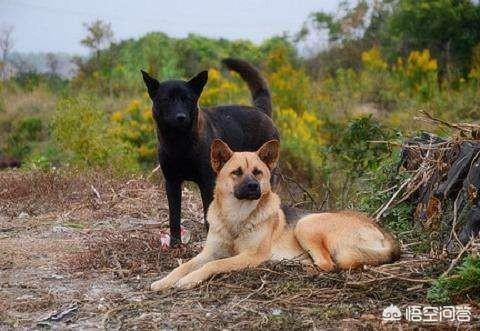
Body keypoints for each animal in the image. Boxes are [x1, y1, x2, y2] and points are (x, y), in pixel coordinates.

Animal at [140, 59, 278, 246]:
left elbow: (207, 215)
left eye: (187, 99)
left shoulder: (206, 182)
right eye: (166, 99)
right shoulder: (172, 182)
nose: (180, 117)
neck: (180, 145)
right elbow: (174, 216)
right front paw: (175, 243)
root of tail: (261, 111)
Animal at [151, 140, 402, 290]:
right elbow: (183, 265)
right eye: (236, 173)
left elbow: (214, 266)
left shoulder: (249, 256)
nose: (253, 187)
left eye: (258, 172)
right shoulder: (209, 252)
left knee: (328, 264)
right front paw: (164, 281)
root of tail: (387, 235)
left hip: (306, 223)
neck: (236, 217)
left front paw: (189, 280)